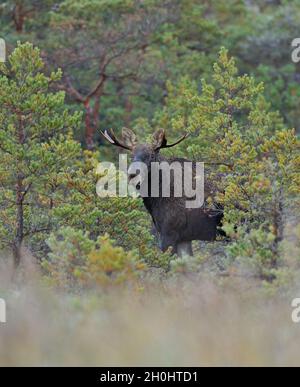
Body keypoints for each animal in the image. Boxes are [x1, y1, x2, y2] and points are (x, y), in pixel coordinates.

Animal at [102, 129, 224, 258]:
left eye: (151, 155)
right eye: (131, 155)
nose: (132, 174)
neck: (155, 200)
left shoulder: (170, 232)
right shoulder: (183, 238)